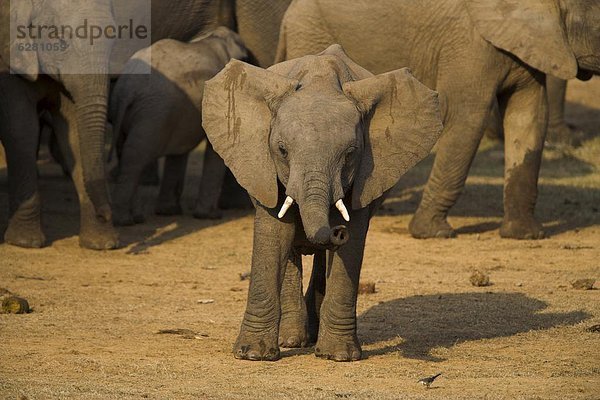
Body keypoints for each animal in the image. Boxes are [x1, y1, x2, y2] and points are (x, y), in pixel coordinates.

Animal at [109, 26, 247, 225]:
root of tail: (126, 89)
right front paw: (210, 216)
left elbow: (179, 150)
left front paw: (169, 211)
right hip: (153, 114)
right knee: (135, 157)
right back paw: (125, 221)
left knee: (125, 154)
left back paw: (136, 217)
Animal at [204, 45, 442, 360]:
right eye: (282, 150)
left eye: (350, 154)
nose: (337, 231)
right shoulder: (263, 168)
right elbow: (275, 233)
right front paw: (252, 354)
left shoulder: (365, 175)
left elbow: (351, 244)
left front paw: (338, 356)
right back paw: (291, 340)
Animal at [278, 0, 600, 241]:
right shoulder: (469, 45)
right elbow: (468, 116)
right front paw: (433, 233)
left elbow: (528, 118)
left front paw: (526, 235)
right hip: (311, 37)